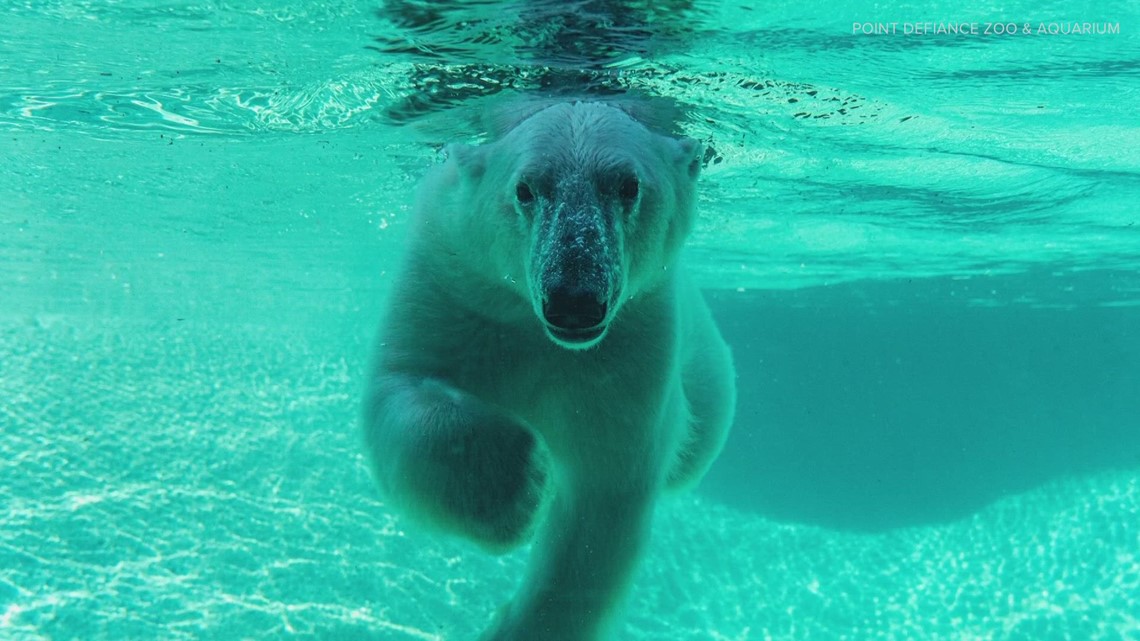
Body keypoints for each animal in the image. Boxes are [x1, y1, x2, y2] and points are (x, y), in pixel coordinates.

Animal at [362, 99, 736, 641]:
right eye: (525, 189)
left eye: (628, 186)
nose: (574, 300)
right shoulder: (452, 280)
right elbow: (400, 387)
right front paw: (513, 486)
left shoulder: (631, 344)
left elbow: (601, 499)